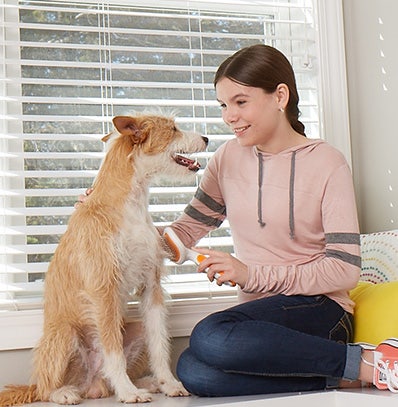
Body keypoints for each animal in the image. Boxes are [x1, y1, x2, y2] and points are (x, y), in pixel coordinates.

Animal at [0, 113, 210, 406]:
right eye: (173, 129)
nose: (207, 138)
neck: (129, 205)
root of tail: (92, 384)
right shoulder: (103, 290)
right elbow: (113, 350)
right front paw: (128, 392)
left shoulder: (151, 286)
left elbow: (159, 343)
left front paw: (168, 383)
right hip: (64, 334)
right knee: (44, 387)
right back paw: (66, 392)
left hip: (135, 327)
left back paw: (146, 382)